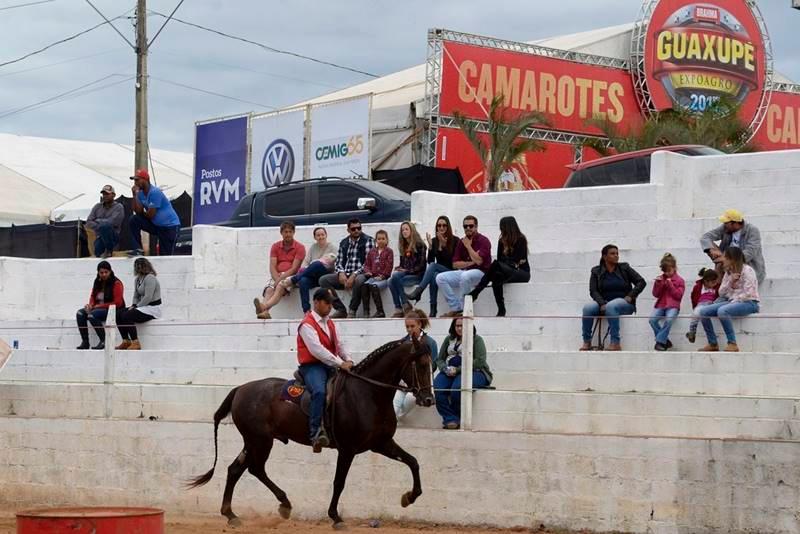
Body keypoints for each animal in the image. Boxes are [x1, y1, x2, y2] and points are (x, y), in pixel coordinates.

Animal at [188, 340, 434, 532]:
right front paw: (335, 517)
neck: (367, 393)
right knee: (254, 469)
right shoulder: (347, 450)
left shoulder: (381, 443)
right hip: (260, 441)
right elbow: (339, 482)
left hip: (253, 442)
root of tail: (240, 389)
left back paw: (233, 514)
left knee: (236, 469)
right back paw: (282, 504)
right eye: (421, 365)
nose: (429, 399)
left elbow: (413, 462)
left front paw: (409, 497)